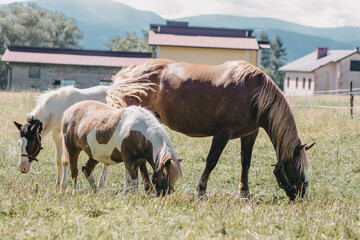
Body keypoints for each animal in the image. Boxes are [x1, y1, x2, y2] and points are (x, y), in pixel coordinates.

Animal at [106, 59, 316, 200]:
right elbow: (211, 161)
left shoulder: (250, 134)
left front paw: (244, 192)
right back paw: (148, 188)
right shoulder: (222, 134)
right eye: (298, 167)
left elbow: (245, 162)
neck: (253, 95)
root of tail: (126, 74)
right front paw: (200, 191)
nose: (302, 195)